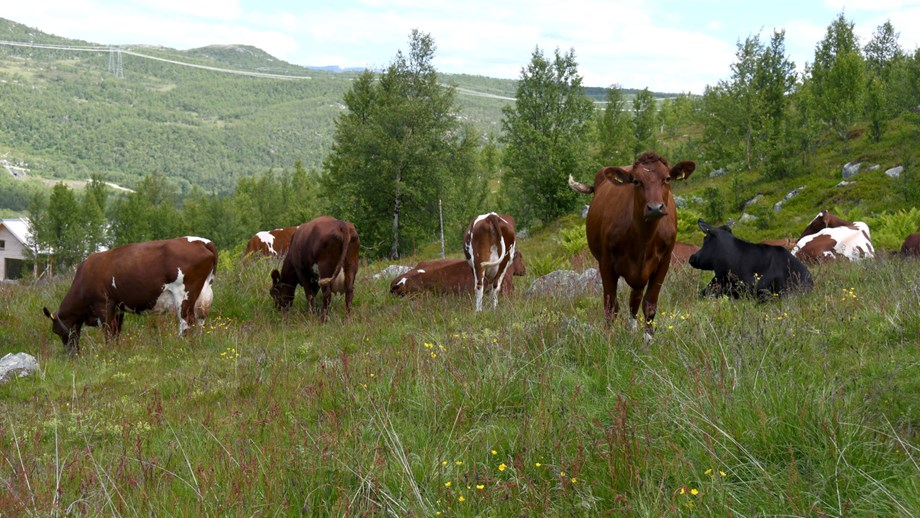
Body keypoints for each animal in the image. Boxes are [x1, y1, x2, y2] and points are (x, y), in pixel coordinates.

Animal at [41, 238, 219, 356]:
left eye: (56, 331)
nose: (71, 354)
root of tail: (202, 242)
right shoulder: (118, 308)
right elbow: (116, 331)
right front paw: (116, 350)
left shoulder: (103, 304)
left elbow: (108, 330)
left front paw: (109, 352)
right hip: (203, 293)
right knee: (200, 319)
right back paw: (196, 343)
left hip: (183, 295)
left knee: (185, 321)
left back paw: (181, 345)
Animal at [568, 151, 696, 338]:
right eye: (636, 181)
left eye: (667, 178)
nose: (655, 208)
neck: (643, 239)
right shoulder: (606, 263)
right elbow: (611, 306)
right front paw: (608, 339)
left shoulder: (664, 262)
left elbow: (649, 305)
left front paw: (648, 338)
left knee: (634, 300)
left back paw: (632, 328)